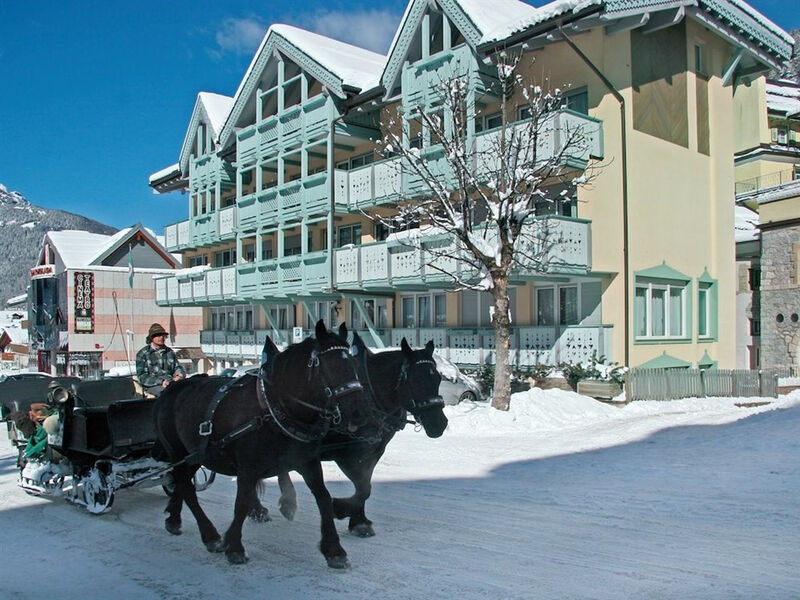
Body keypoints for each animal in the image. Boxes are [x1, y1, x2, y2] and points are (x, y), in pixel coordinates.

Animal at [153, 318, 368, 568]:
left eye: (352, 363)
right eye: (329, 366)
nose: (359, 412)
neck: (275, 407)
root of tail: (171, 390)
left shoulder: (307, 461)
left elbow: (323, 498)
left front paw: (334, 549)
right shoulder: (248, 467)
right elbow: (241, 503)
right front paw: (234, 546)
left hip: (195, 455)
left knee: (182, 483)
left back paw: (174, 518)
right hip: (177, 451)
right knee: (187, 488)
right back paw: (210, 535)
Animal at [272, 330, 446, 536]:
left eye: (438, 378)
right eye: (417, 379)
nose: (440, 424)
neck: (371, 394)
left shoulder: (374, 451)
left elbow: (365, 485)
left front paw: (357, 519)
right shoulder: (344, 453)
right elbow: (362, 486)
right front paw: (340, 509)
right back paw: (281, 503)